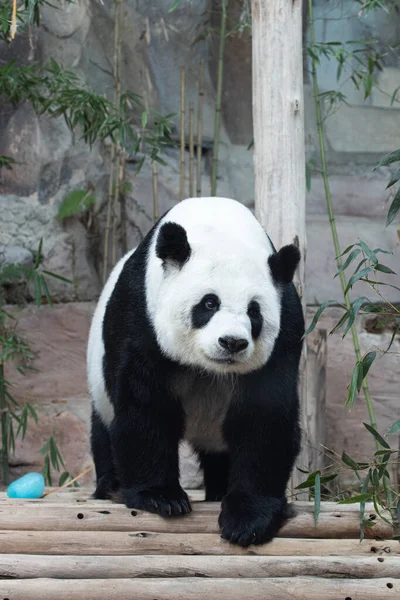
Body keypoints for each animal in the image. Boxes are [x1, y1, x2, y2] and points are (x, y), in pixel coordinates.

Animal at [86, 197, 304, 548]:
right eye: (209, 303)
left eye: (254, 311)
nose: (232, 342)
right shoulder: (141, 318)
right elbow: (145, 406)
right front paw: (160, 497)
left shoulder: (285, 332)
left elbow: (264, 418)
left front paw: (248, 517)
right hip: (98, 387)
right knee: (104, 430)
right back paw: (110, 486)